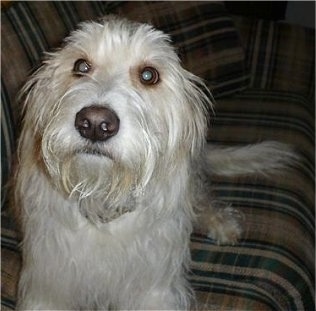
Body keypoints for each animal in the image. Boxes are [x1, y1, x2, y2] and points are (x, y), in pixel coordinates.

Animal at [13, 15, 298, 310]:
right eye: (80, 66)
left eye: (149, 75)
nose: (94, 124)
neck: (103, 199)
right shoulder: (48, 286)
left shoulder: (156, 290)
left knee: (201, 197)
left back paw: (221, 222)